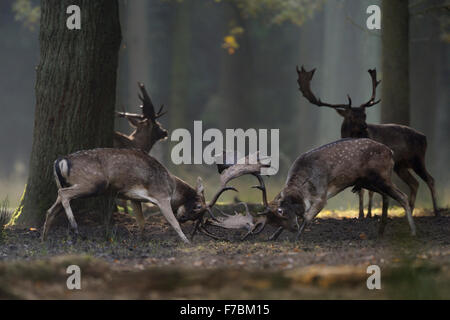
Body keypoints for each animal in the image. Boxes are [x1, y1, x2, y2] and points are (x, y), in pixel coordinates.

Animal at [41, 149, 236, 244]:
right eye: (197, 207)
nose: (183, 218)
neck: (172, 188)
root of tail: (60, 161)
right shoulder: (161, 196)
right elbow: (171, 222)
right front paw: (186, 241)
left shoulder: (133, 197)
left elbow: (141, 221)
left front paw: (141, 239)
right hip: (93, 182)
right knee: (63, 194)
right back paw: (74, 228)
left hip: (73, 183)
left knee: (51, 208)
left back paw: (44, 236)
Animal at [209, 139, 416, 241]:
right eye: (273, 221)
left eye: (282, 212)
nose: (292, 229)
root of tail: (390, 152)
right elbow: (302, 216)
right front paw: (273, 237)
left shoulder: (322, 196)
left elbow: (307, 217)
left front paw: (297, 237)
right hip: (368, 181)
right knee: (387, 197)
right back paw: (380, 231)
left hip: (380, 176)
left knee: (402, 196)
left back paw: (412, 231)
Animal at [296, 66, 440, 219]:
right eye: (352, 116)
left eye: (364, 114)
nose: (365, 126)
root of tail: (424, 137)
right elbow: (362, 190)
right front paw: (361, 214)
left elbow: (368, 190)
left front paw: (368, 214)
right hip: (401, 165)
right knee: (415, 183)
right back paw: (410, 211)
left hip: (417, 159)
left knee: (430, 179)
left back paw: (436, 211)